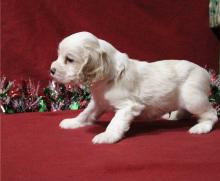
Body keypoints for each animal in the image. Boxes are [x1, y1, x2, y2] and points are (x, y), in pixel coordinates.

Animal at [50, 31, 218, 144]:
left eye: (69, 59)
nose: (51, 70)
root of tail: (205, 72)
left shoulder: (128, 106)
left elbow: (115, 123)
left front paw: (107, 136)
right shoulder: (98, 103)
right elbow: (85, 114)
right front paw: (73, 122)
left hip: (193, 98)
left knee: (211, 114)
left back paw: (201, 127)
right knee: (185, 111)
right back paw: (175, 116)